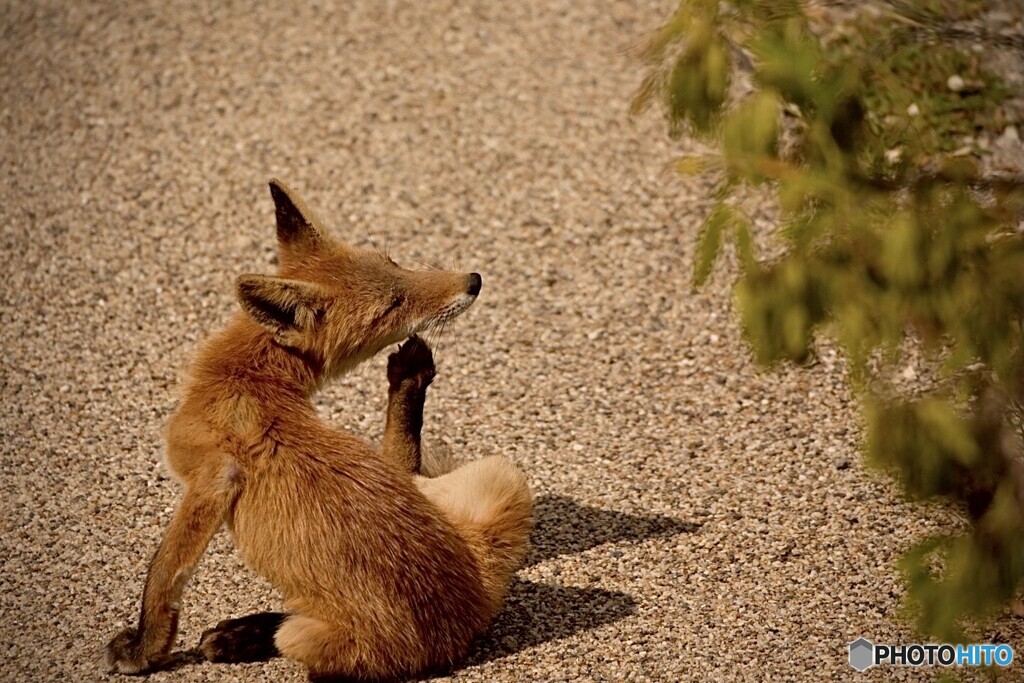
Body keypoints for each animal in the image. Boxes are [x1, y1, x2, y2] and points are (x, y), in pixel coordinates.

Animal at [107, 179, 532, 679]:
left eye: (396, 269)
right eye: (394, 297)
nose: (474, 281)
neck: (247, 378)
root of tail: (467, 623)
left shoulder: (211, 479)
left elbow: (162, 574)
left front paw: (144, 649)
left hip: (307, 638)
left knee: (299, 638)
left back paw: (244, 635)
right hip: (495, 477)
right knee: (405, 468)